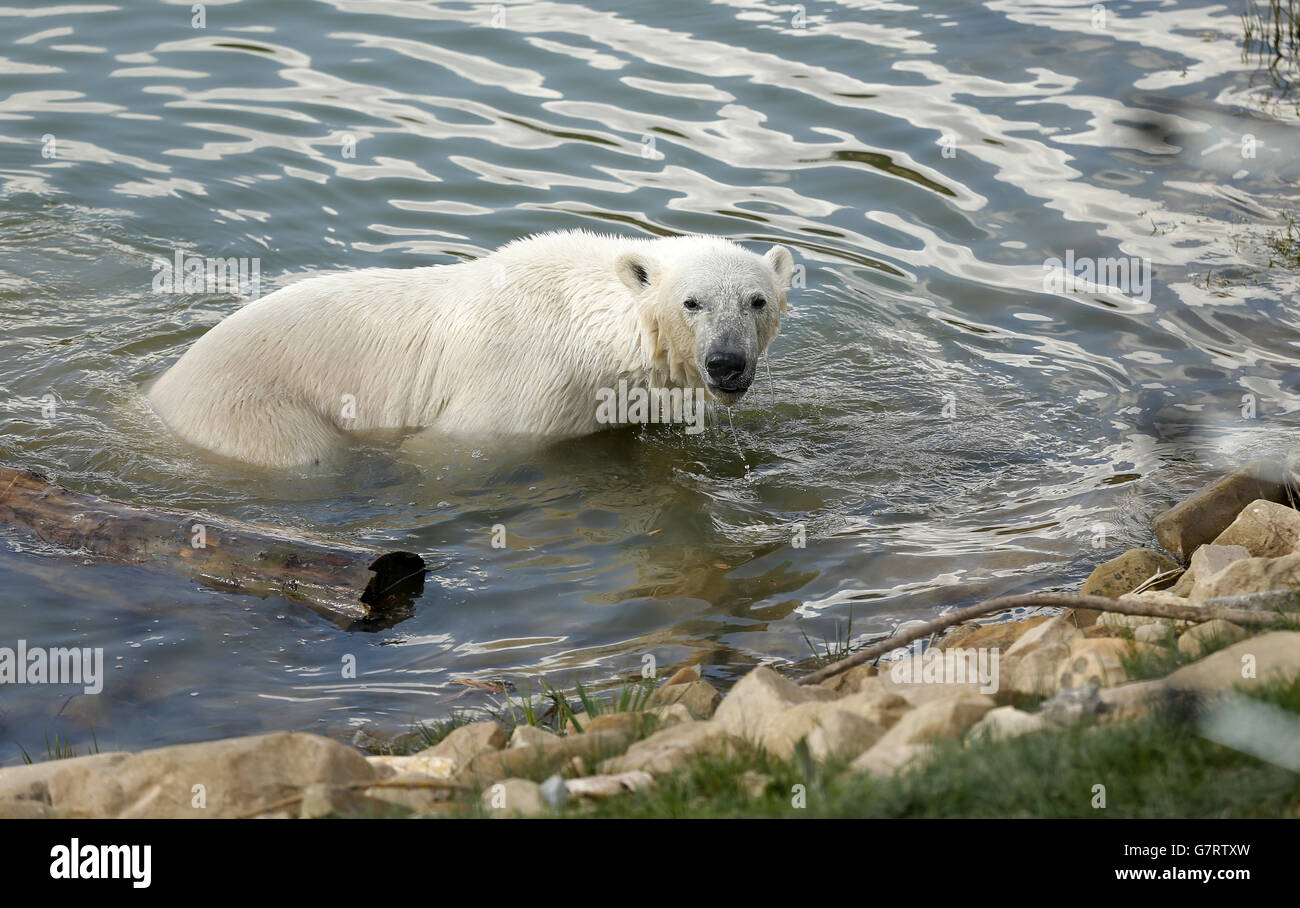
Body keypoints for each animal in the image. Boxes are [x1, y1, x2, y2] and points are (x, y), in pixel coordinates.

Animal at [147, 230, 795, 468]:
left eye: (757, 301)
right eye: (692, 302)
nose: (727, 364)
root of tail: (158, 396)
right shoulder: (522, 395)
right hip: (250, 411)